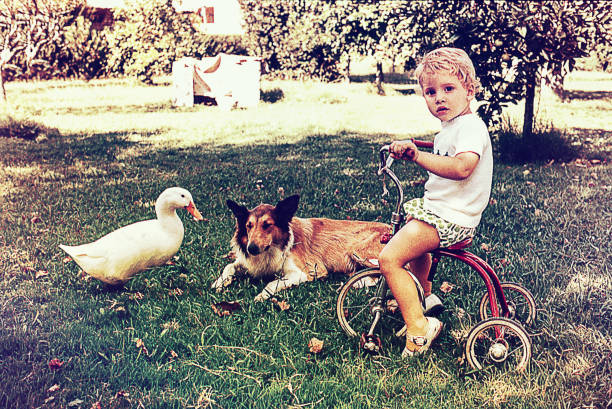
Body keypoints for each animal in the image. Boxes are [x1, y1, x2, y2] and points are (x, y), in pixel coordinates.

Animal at [213, 194, 390, 300]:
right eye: (248, 226)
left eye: (267, 225)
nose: (251, 249)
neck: (272, 249)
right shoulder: (247, 262)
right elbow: (229, 266)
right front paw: (219, 282)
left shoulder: (308, 271)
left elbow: (273, 283)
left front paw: (262, 295)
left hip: (357, 251)